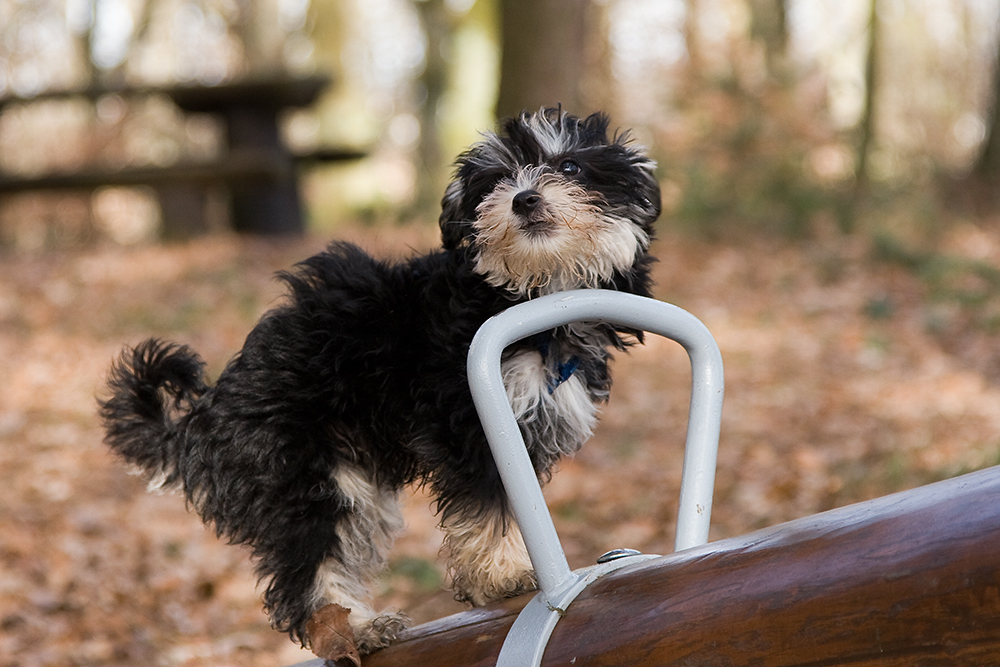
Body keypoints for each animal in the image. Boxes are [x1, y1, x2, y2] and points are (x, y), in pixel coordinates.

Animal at [99, 107, 664, 656]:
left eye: (569, 166)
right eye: (495, 181)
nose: (524, 198)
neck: (532, 294)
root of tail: (208, 409)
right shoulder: (469, 422)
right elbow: (489, 503)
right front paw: (501, 576)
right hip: (310, 481)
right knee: (307, 573)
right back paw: (356, 630)